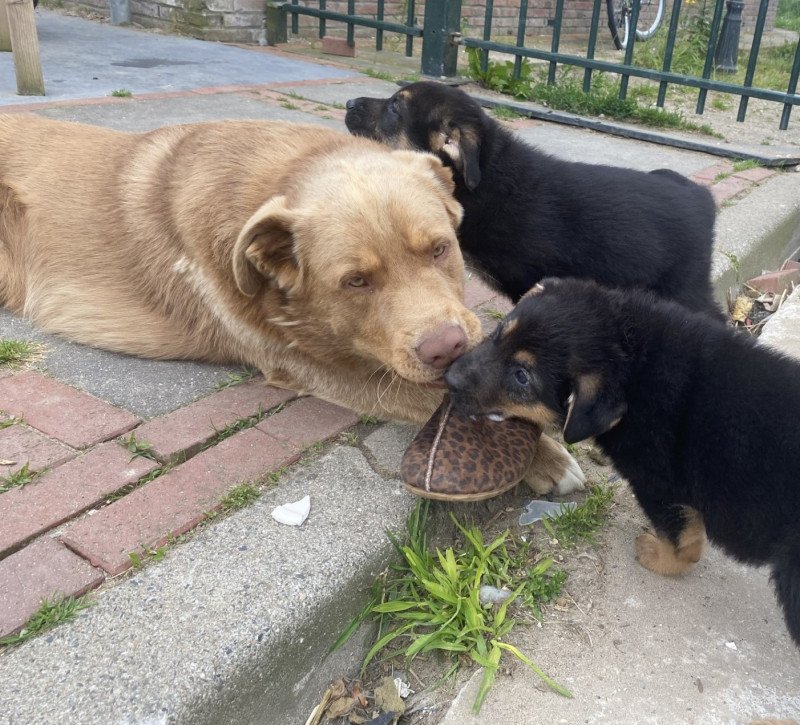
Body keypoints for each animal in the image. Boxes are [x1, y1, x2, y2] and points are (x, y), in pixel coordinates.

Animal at [0, 116, 584, 494]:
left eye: (440, 248)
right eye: (356, 281)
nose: (450, 348)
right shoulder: (315, 365)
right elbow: (424, 395)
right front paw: (548, 458)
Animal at [444, 278, 800, 644]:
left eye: (521, 376)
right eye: (500, 332)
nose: (448, 378)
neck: (632, 357)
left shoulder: (658, 485)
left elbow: (683, 541)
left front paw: (658, 557)